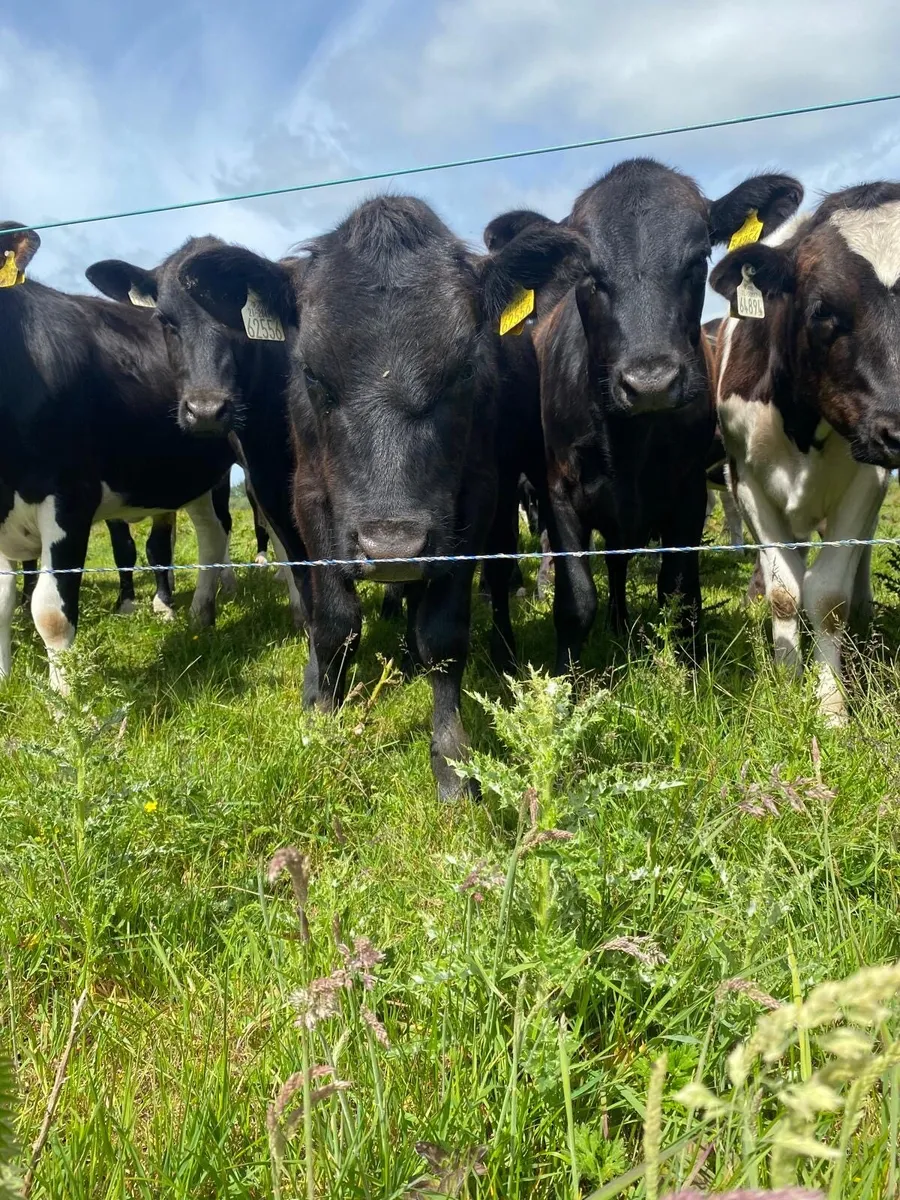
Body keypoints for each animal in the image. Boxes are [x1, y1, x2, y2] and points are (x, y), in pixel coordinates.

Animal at [163, 196, 588, 797]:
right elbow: (334, 623)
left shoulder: (473, 499)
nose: (392, 547)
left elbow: (443, 634)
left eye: (464, 368)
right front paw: (322, 717)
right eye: (311, 373)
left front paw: (452, 758)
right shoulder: (309, 497)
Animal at [497, 159, 802, 671]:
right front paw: (566, 678)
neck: (630, 445)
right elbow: (575, 599)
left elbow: (680, 594)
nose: (651, 382)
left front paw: (693, 675)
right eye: (587, 274)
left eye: (697, 259)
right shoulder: (558, 493)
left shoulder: (688, 493)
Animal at [709, 182, 900, 722]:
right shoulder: (746, 480)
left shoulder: (868, 479)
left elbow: (829, 596)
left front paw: (832, 707)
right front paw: (787, 680)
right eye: (822, 311)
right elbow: (784, 592)